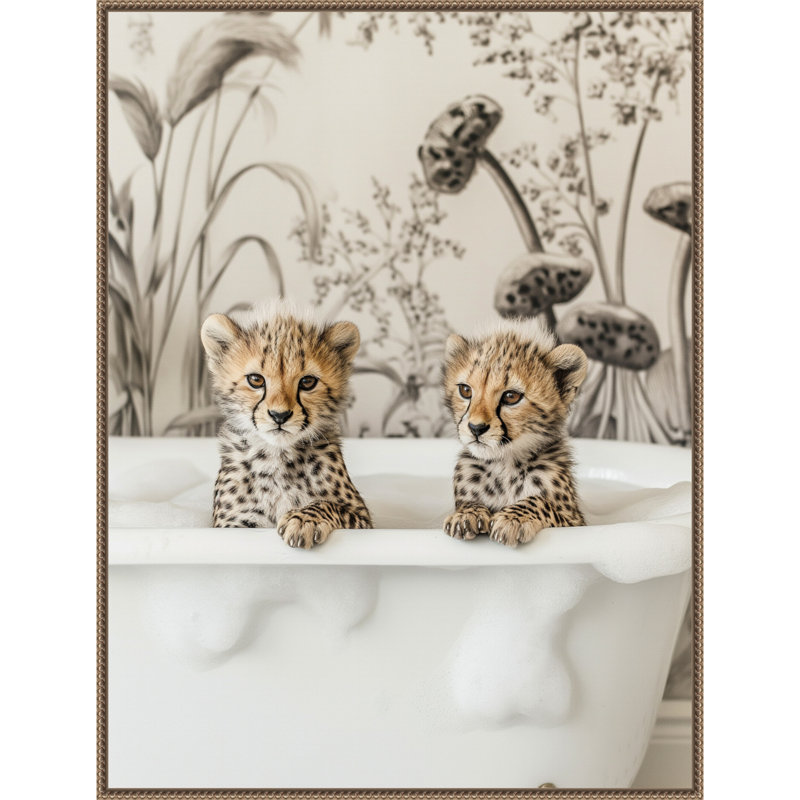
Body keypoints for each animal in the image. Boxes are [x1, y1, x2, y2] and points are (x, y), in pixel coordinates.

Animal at [200, 301, 373, 548]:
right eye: (256, 380)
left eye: (307, 382)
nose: (279, 415)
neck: (277, 456)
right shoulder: (233, 523)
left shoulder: (362, 516)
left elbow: (327, 504)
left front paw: (303, 520)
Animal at [442, 317, 588, 548]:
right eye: (465, 390)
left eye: (511, 396)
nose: (476, 428)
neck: (505, 464)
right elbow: (468, 504)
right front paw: (467, 514)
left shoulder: (576, 521)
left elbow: (540, 500)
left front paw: (513, 518)